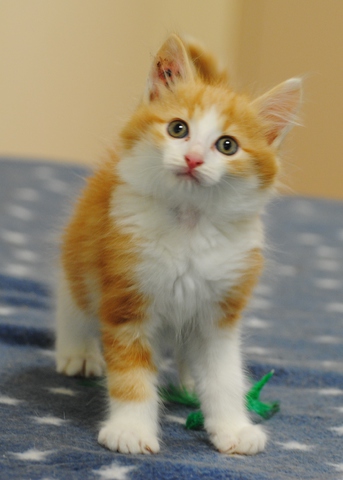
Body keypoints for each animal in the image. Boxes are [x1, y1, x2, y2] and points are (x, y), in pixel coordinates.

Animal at [55, 32, 302, 454]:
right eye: (177, 129)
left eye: (227, 145)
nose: (193, 159)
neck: (189, 226)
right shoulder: (126, 298)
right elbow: (132, 375)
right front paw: (130, 430)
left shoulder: (221, 312)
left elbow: (224, 376)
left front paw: (233, 427)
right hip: (83, 249)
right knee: (73, 299)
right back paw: (77, 352)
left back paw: (189, 381)